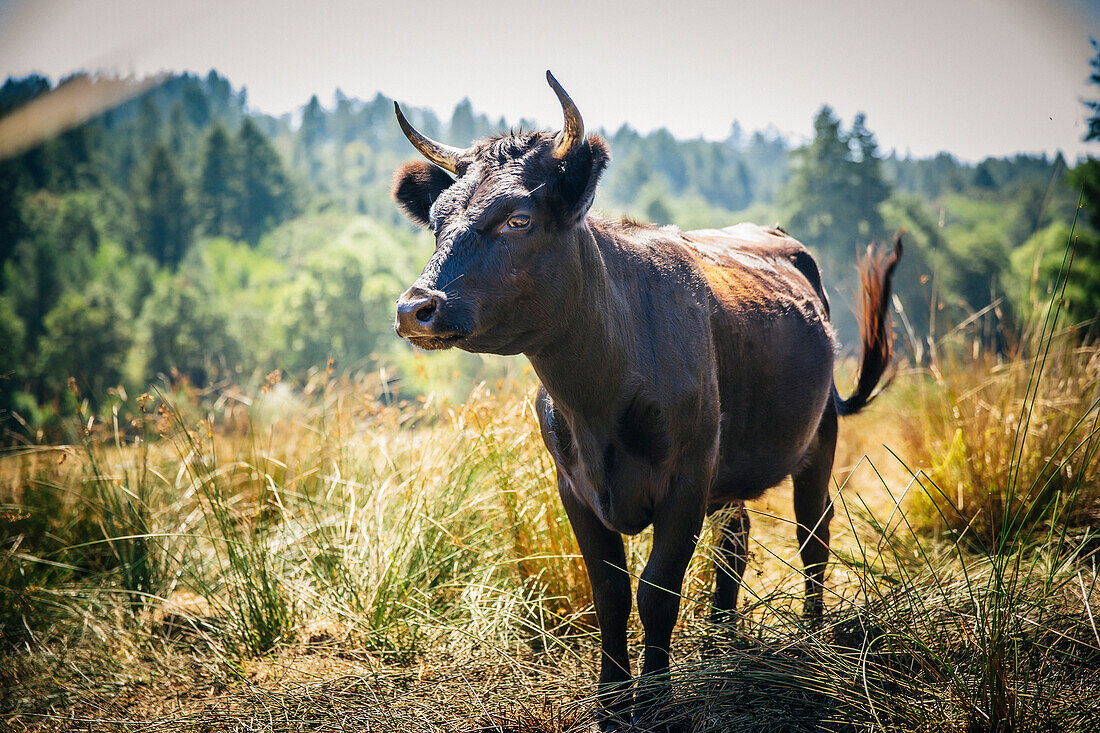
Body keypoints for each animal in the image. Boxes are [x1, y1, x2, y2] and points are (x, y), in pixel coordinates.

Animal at [391, 72, 897, 726]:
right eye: (437, 219)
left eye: (518, 219)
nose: (415, 309)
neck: (599, 395)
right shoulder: (574, 486)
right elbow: (609, 591)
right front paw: (611, 700)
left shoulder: (686, 478)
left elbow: (657, 590)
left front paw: (655, 698)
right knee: (736, 537)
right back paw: (719, 641)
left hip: (818, 439)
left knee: (814, 534)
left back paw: (810, 636)